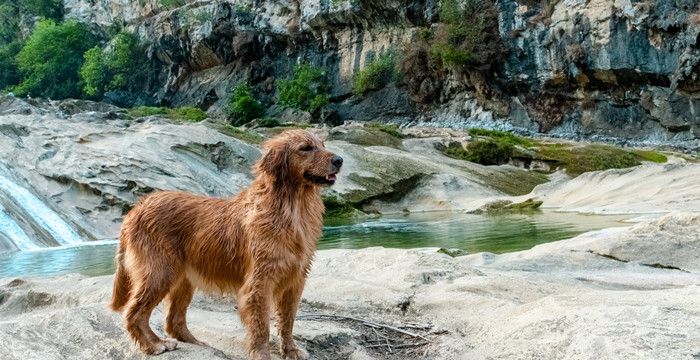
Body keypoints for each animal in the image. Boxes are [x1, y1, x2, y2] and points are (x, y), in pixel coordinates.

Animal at [109, 128, 344, 358]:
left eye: (322, 144)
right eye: (305, 148)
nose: (339, 160)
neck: (292, 207)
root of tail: (137, 208)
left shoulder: (295, 279)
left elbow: (287, 321)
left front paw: (290, 350)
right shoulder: (260, 282)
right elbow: (262, 328)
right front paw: (262, 354)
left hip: (184, 279)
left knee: (173, 320)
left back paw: (194, 342)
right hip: (160, 271)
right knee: (134, 313)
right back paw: (154, 345)